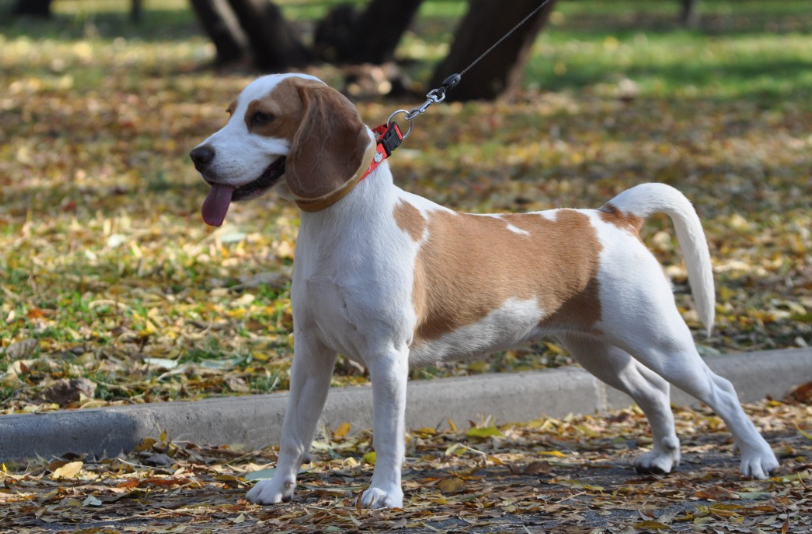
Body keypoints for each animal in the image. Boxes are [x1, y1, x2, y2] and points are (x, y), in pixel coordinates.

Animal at [190, 73, 780, 508]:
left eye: (263, 117)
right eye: (230, 112)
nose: (198, 155)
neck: (339, 221)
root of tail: (611, 216)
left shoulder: (387, 357)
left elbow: (387, 434)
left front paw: (384, 493)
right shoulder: (311, 352)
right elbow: (294, 430)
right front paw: (277, 488)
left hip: (661, 341)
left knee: (721, 390)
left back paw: (757, 459)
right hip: (599, 350)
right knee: (655, 392)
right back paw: (662, 458)